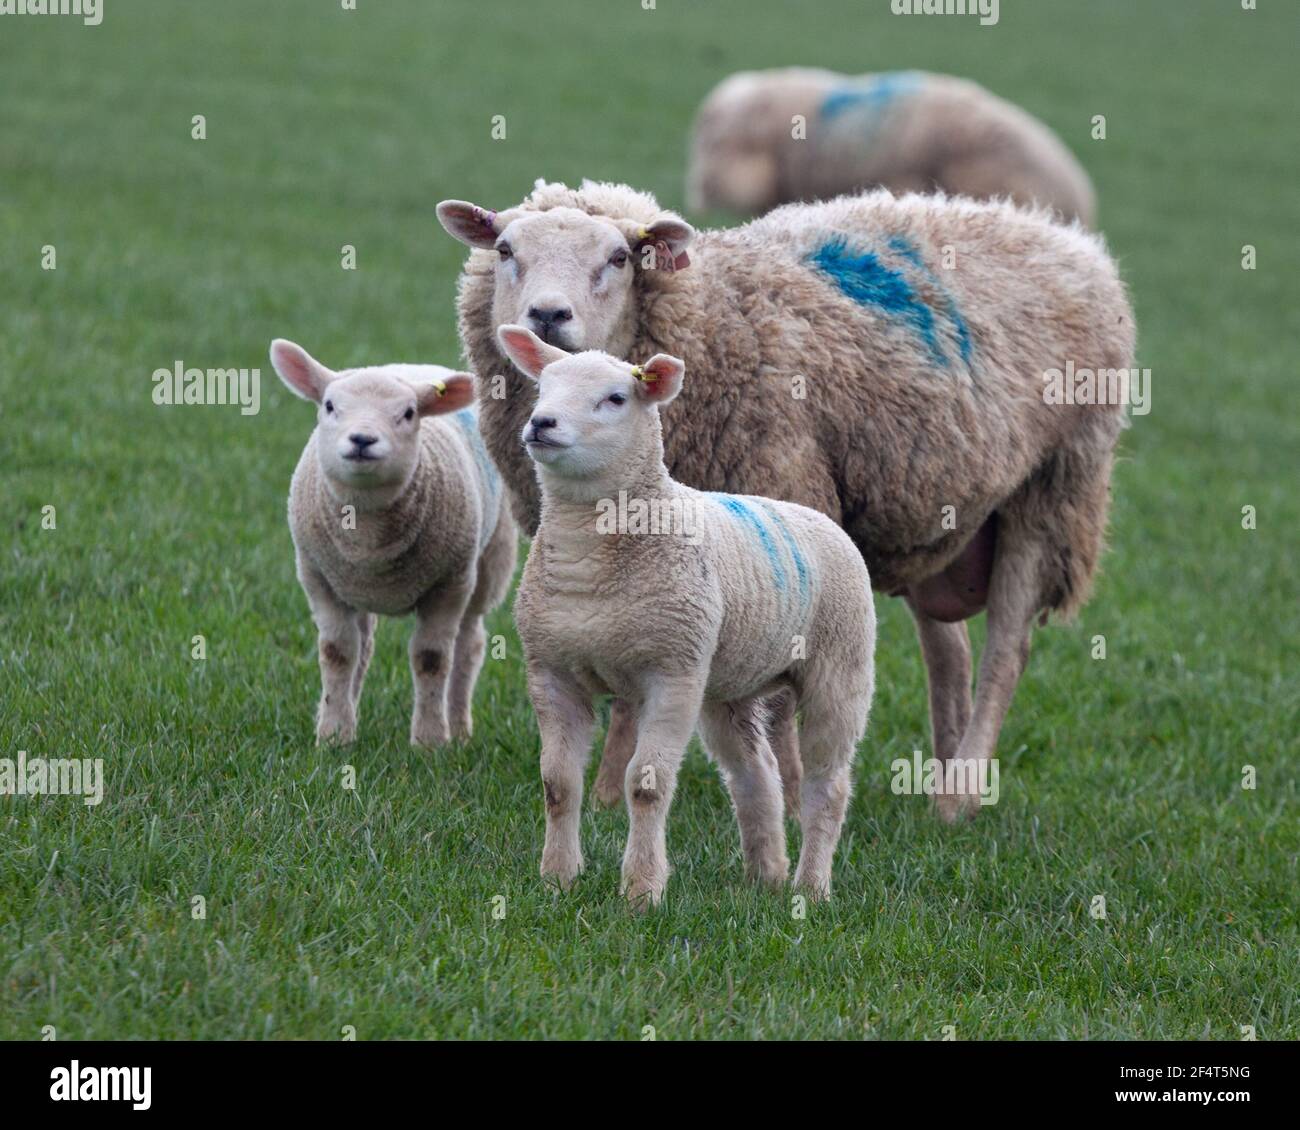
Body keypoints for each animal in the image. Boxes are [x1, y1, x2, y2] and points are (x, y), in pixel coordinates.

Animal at [270, 339, 516, 748]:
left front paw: (430, 742)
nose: (362, 440)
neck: (366, 536)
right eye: (329, 405)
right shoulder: (319, 578)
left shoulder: (448, 585)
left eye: (409, 413)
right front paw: (334, 735)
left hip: (487, 564)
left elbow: (431, 658)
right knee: (363, 646)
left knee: (469, 645)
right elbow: (338, 653)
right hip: (355, 586)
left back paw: (459, 728)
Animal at [436, 178, 1134, 822]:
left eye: (618, 257)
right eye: (505, 248)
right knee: (950, 654)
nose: (547, 317)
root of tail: (1060, 235)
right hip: (934, 509)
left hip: (1054, 488)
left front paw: (792, 798)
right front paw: (608, 793)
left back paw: (960, 795)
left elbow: (773, 700)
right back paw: (939, 781)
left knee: (1005, 652)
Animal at [496, 324, 875, 906]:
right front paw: (557, 879)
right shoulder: (551, 669)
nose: (542, 423)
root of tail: (813, 515)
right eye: (544, 387)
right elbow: (558, 784)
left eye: (615, 398)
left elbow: (646, 786)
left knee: (827, 787)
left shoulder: (672, 673)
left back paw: (811, 888)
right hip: (728, 685)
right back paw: (765, 875)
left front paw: (642, 891)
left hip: (841, 667)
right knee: (755, 774)